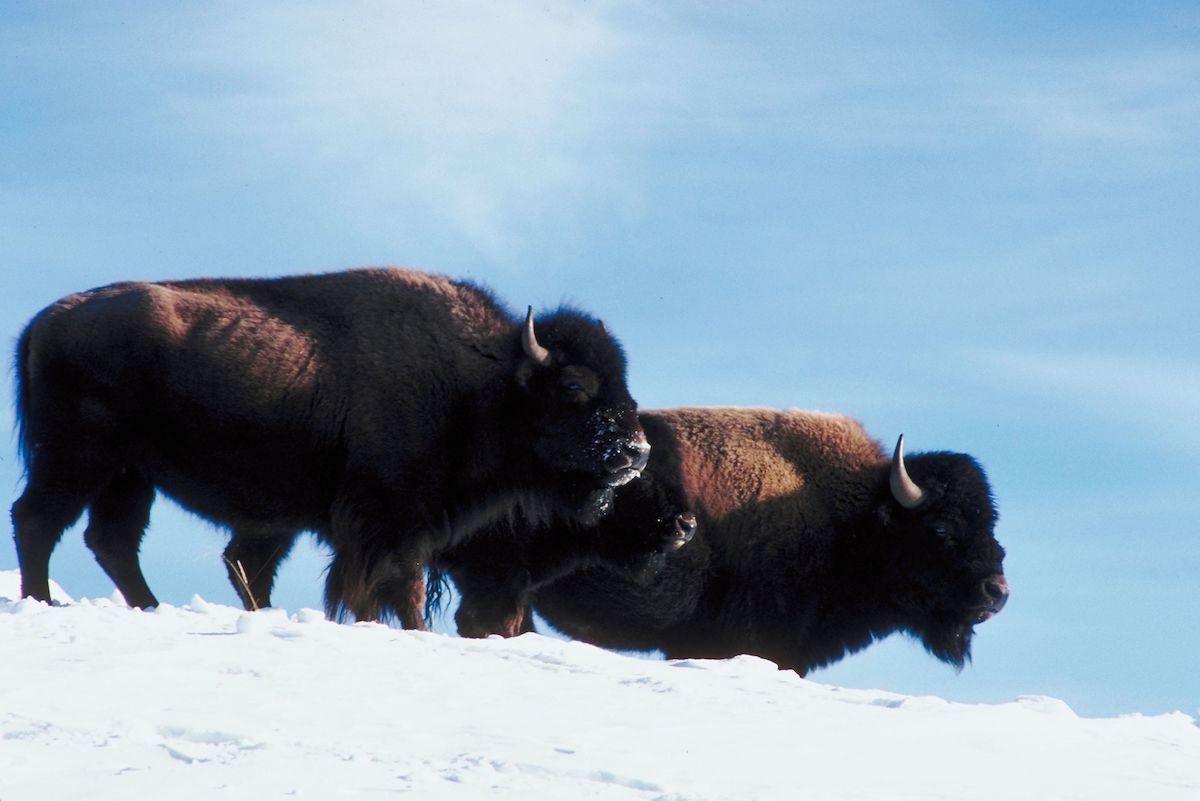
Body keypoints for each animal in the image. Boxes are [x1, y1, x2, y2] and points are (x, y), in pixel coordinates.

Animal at [9, 266, 648, 628]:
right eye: (574, 387)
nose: (637, 453)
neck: (482, 380)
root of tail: (44, 321)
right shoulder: (386, 521)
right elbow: (397, 588)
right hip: (77, 459)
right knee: (38, 520)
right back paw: (42, 604)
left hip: (129, 475)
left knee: (111, 540)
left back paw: (150, 607)